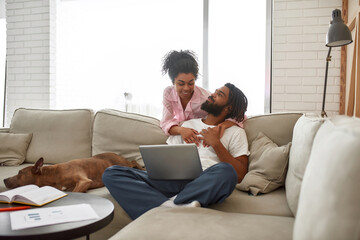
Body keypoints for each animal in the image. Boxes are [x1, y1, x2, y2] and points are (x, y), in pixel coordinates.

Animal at [3, 153, 145, 192]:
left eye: (20, 172)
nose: (4, 179)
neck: (52, 174)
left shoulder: (83, 181)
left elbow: (75, 191)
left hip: (124, 164)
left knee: (134, 161)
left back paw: (142, 167)